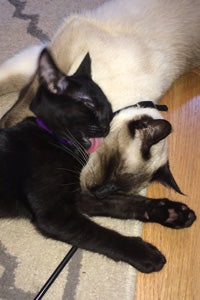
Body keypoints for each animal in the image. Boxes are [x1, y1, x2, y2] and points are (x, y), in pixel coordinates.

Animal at [0, 47, 196, 274]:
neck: (55, 139)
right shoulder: (56, 213)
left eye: (110, 110)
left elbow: (124, 203)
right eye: (89, 106)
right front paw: (144, 254)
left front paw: (173, 213)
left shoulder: (77, 196)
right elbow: (101, 235)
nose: (105, 125)